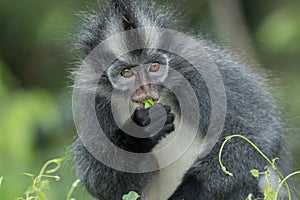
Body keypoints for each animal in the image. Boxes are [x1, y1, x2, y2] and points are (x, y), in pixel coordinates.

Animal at [71, 0, 294, 200]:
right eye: (126, 72)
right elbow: (100, 183)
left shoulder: (201, 67)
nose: (145, 88)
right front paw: (141, 134)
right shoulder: (95, 98)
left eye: (154, 66)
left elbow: (259, 132)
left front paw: (189, 192)